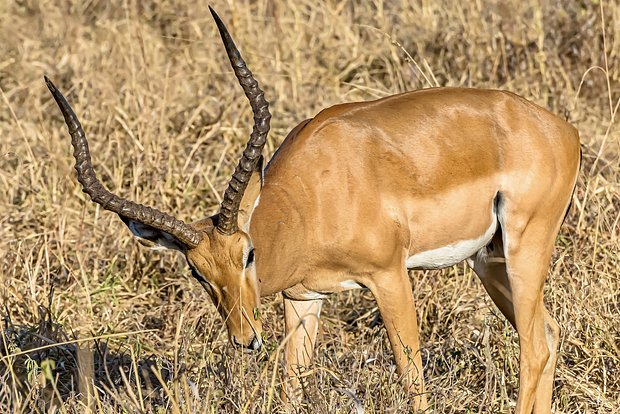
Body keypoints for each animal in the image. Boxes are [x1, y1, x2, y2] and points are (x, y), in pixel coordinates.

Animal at [47, 6, 580, 414]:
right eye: (197, 272)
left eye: (247, 253)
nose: (245, 339)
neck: (311, 200)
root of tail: (561, 129)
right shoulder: (302, 300)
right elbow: (291, 390)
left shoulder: (389, 276)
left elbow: (412, 382)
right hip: (490, 260)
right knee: (549, 333)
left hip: (523, 246)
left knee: (534, 347)